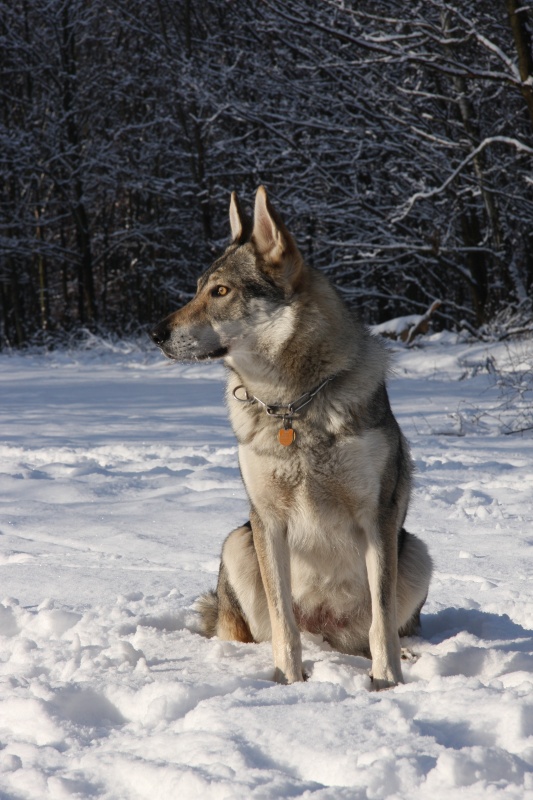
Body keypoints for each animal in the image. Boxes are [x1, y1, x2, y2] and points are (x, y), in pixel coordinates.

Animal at [151, 186, 432, 688]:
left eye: (220, 291)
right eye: (198, 289)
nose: (154, 332)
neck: (292, 406)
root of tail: (330, 633)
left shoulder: (377, 518)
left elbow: (382, 623)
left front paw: (386, 683)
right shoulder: (268, 520)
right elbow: (284, 621)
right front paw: (288, 682)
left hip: (416, 551)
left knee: (376, 633)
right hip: (238, 542)